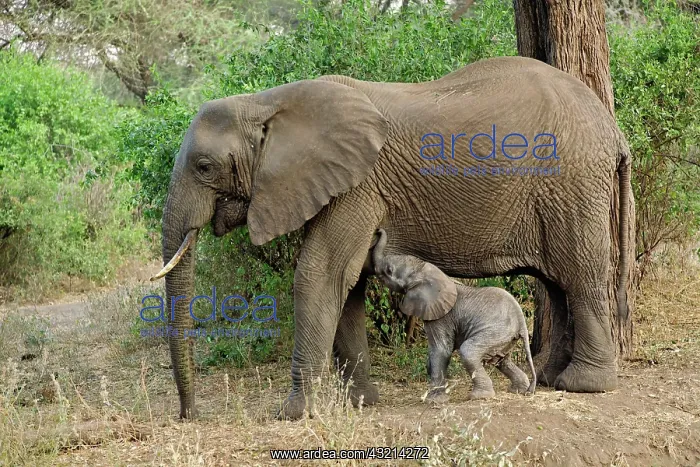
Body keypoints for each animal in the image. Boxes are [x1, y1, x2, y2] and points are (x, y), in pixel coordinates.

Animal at [371, 229, 536, 402]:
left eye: (389, 270)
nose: (379, 230)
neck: (426, 272)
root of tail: (522, 322)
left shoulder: (440, 317)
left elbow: (441, 349)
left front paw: (433, 401)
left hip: (497, 331)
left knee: (469, 352)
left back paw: (479, 396)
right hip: (505, 338)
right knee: (502, 360)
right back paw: (518, 390)